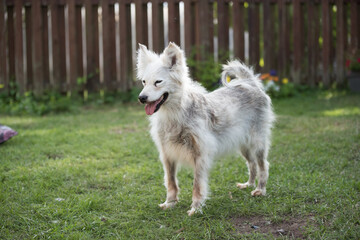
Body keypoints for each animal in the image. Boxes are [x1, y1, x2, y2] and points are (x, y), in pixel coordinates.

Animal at [136, 42, 274, 216]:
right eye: (144, 82)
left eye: (158, 82)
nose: (141, 98)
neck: (175, 113)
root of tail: (249, 83)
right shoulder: (167, 155)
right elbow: (171, 182)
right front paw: (170, 203)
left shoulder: (200, 155)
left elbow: (197, 185)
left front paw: (196, 208)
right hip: (243, 146)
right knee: (252, 164)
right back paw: (248, 184)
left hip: (257, 143)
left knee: (263, 165)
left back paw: (260, 190)